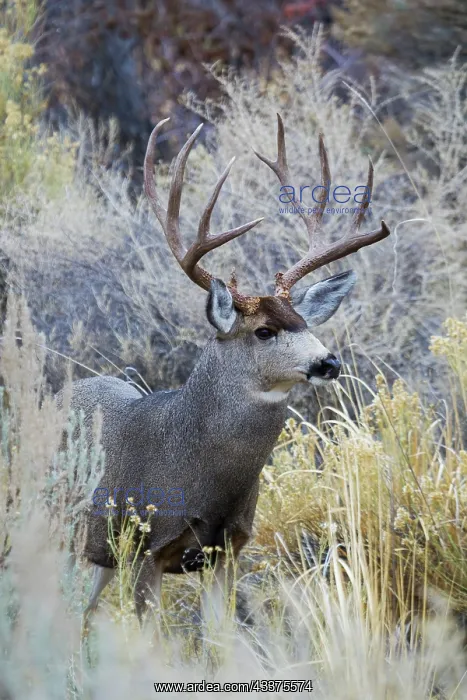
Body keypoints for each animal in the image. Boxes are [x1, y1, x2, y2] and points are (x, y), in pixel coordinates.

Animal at [62, 114, 390, 625]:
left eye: (304, 322)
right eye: (264, 331)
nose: (328, 361)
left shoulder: (229, 548)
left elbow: (222, 634)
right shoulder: (145, 545)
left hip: (97, 555)